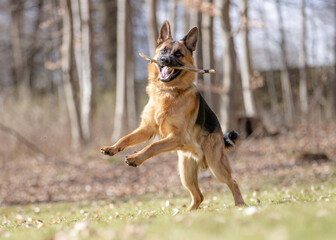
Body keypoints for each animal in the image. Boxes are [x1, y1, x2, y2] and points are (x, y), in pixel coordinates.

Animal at [101, 20, 245, 210]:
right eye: (163, 51)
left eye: (178, 54)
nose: (164, 60)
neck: (167, 92)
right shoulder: (146, 129)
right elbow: (126, 138)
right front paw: (112, 148)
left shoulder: (175, 137)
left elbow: (152, 147)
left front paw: (136, 158)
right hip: (185, 173)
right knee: (199, 196)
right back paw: (188, 212)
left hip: (216, 167)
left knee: (232, 182)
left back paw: (240, 204)